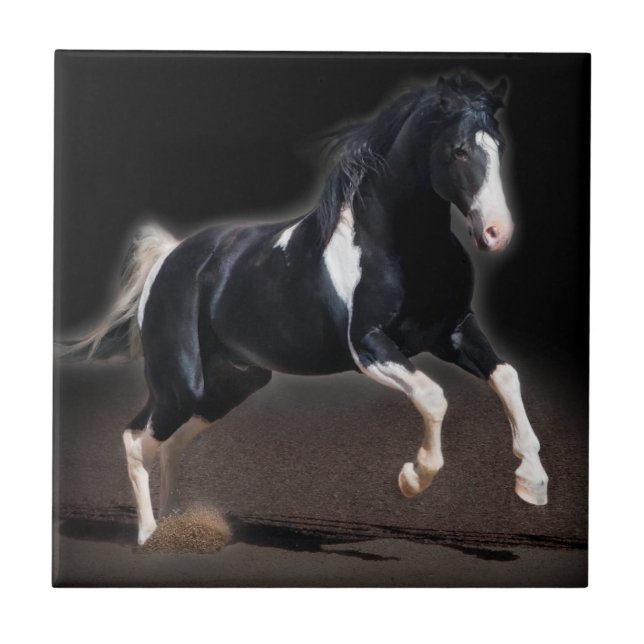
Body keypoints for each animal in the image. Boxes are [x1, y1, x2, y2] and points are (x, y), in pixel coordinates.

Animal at [65, 74, 549, 546]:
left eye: (499, 147)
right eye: (459, 149)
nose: (496, 233)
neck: (400, 248)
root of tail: (169, 257)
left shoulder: (453, 332)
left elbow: (507, 376)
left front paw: (533, 483)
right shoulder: (369, 347)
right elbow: (433, 396)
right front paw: (411, 479)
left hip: (232, 384)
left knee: (169, 444)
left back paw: (175, 527)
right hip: (180, 385)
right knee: (136, 439)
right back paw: (149, 536)